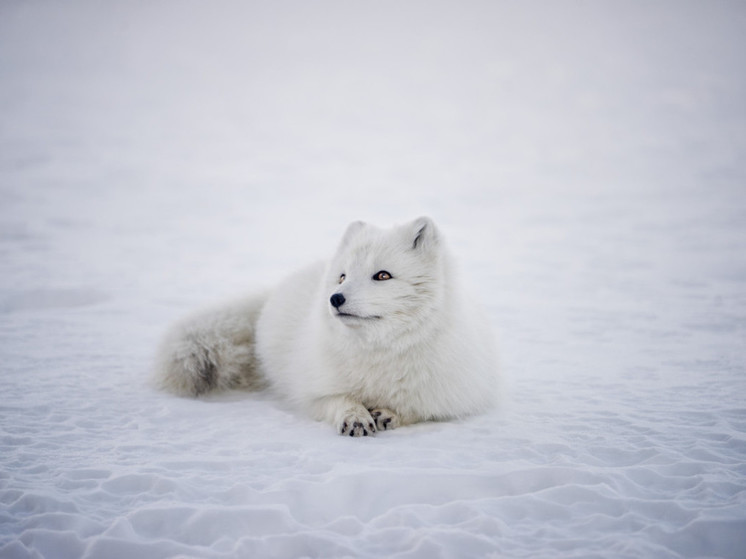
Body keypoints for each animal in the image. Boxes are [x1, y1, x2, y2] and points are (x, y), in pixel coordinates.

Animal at [153, 218, 496, 438]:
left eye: (383, 275)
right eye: (342, 276)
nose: (335, 298)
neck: (380, 352)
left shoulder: (453, 397)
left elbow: (420, 409)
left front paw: (390, 413)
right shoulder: (311, 391)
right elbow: (337, 399)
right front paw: (354, 416)